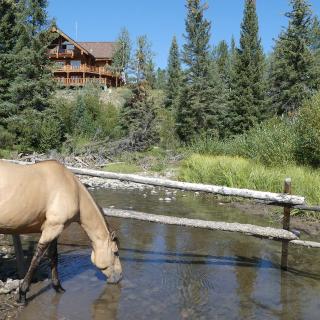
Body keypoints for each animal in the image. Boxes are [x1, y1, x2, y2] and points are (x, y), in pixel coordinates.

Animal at [0, 161, 122, 304]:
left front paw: (58, 287)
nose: (119, 276)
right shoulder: (53, 228)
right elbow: (36, 260)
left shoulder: (55, 230)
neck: (73, 190)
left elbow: (53, 256)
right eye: (115, 252)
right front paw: (23, 294)